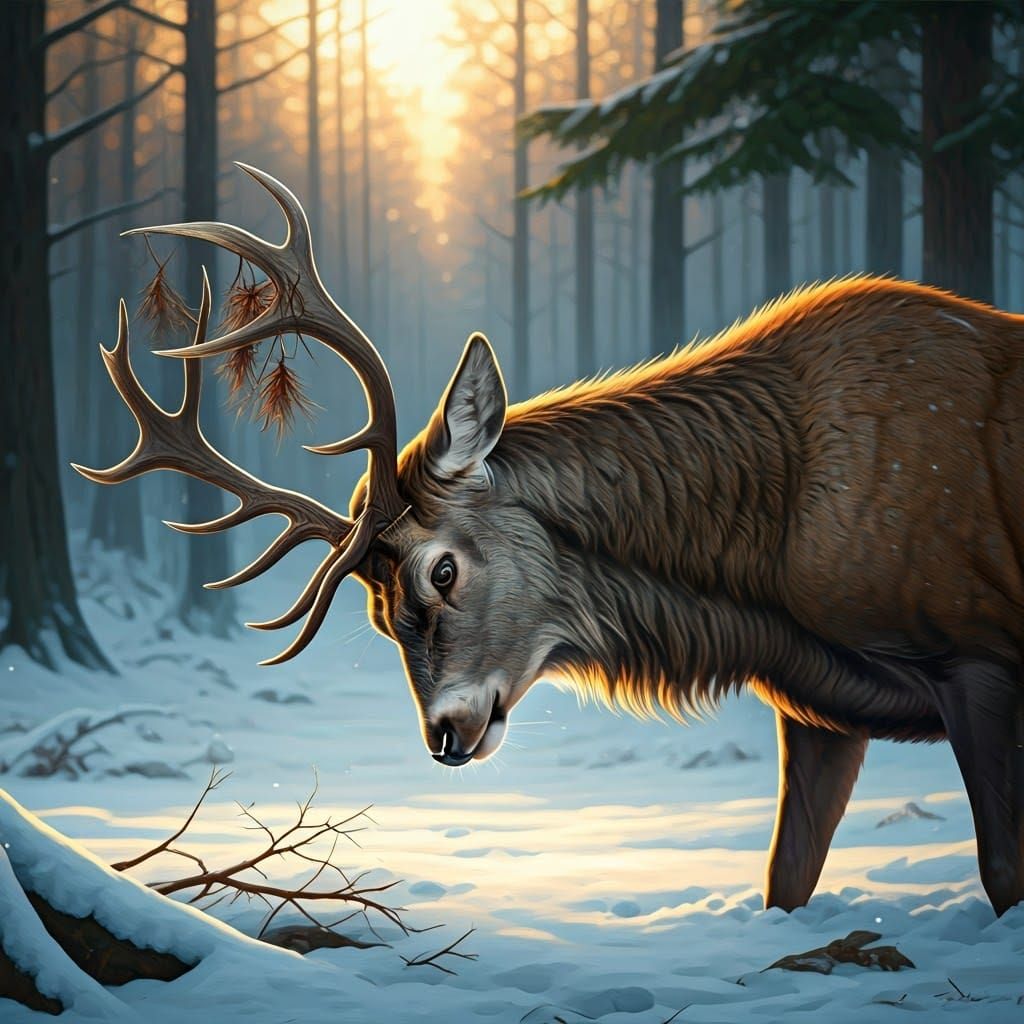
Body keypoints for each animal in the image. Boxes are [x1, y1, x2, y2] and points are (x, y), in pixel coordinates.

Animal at [76, 165, 1024, 917]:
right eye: (378, 616)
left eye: (443, 569)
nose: (444, 735)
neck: (770, 578)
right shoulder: (819, 707)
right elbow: (785, 881)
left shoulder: (982, 652)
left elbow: (1000, 875)